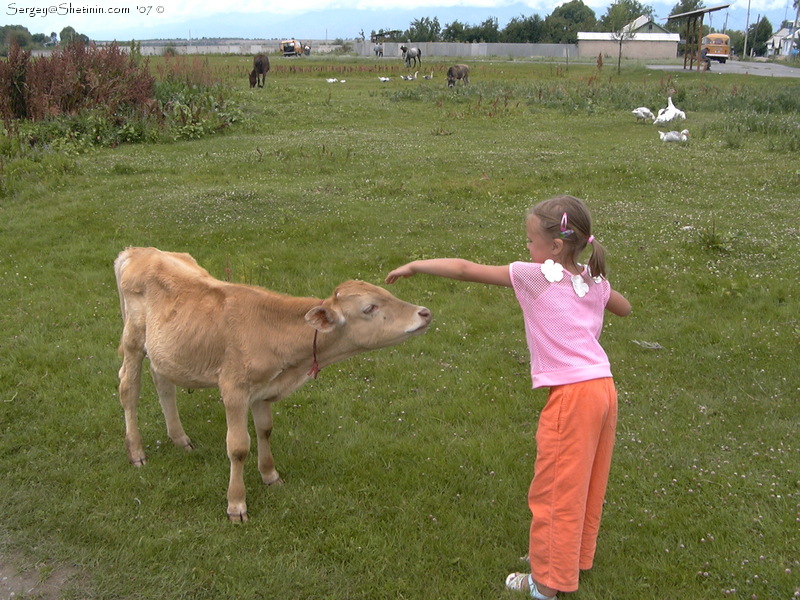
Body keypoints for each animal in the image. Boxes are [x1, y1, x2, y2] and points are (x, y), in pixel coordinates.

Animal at [112, 247, 432, 520]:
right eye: (369, 308)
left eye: (387, 292)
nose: (424, 312)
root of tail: (139, 251)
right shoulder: (234, 390)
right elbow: (239, 446)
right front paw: (236, 504)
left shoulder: (264, 390)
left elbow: (265, 430)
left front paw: (270, 475)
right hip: (133, 340)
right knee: (128, 389)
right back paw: (136, 452)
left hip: (163, 350)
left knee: (163, 383)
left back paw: (180, 438)